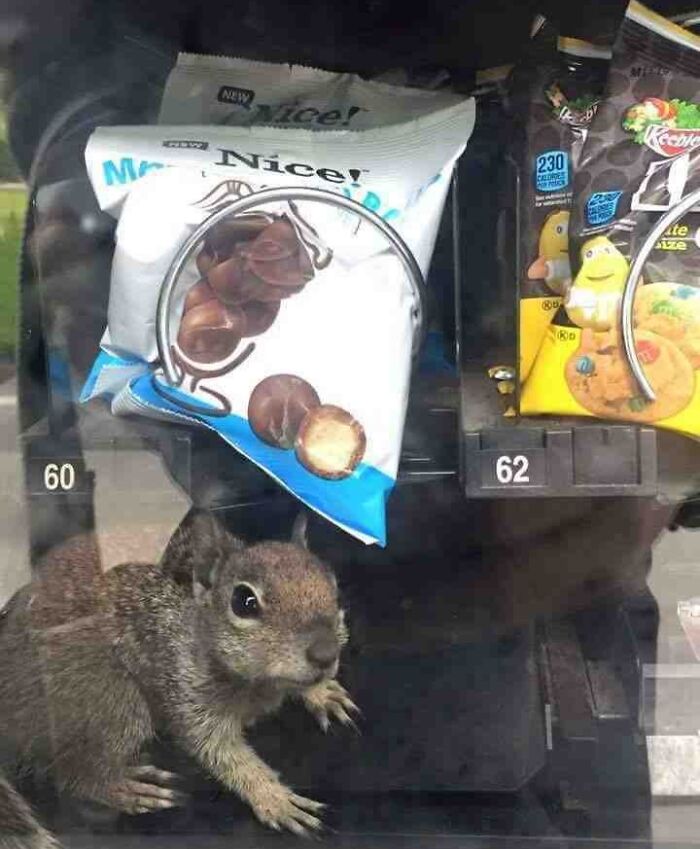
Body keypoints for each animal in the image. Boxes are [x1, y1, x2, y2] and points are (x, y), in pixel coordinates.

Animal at [0, 510, 358, 847]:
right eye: (243, 602)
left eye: (335, 590)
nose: (325, 654)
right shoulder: (185, 689)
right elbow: (219, 751)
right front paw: (274, 797)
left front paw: (322, 693)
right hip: (110, 700)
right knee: (73, 774)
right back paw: (122, 788)